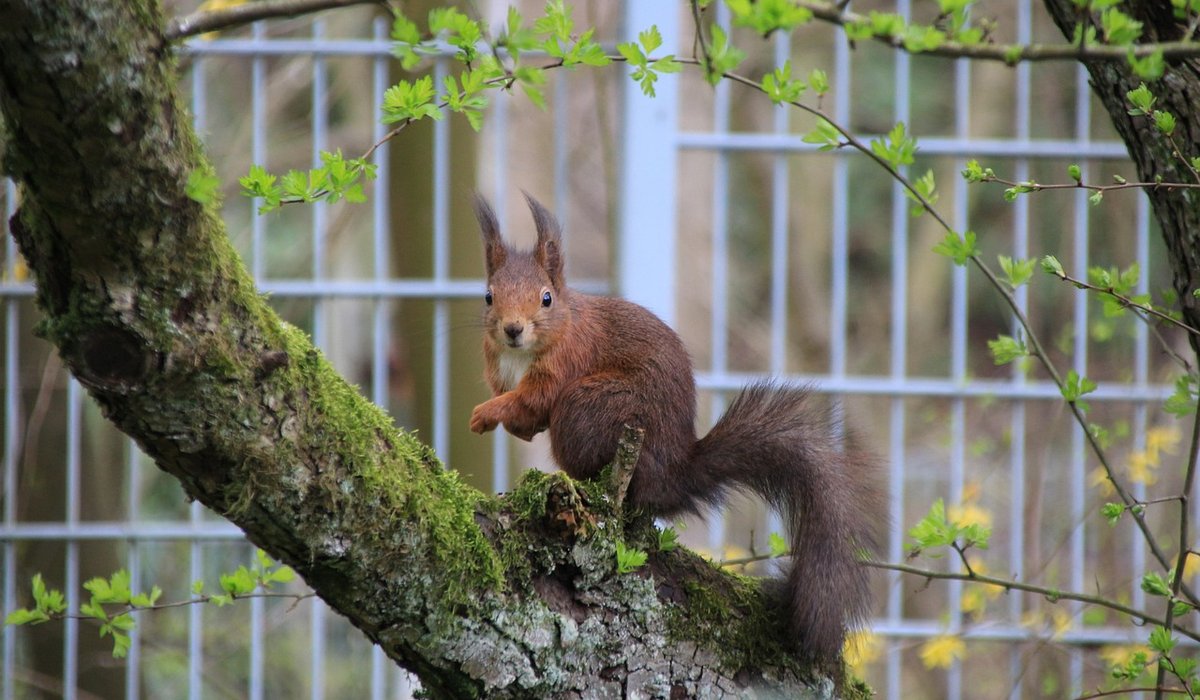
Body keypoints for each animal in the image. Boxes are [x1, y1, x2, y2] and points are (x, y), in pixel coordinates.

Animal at [469, 193, 885, 665]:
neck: (525, 352)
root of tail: (672, 474)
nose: (512, 329)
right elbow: (527, 415)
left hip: (591, 408)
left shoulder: (566, 365)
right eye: (488, 296)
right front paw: (504, 421)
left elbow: (534, 399)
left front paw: (486, 412)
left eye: (546, 298)